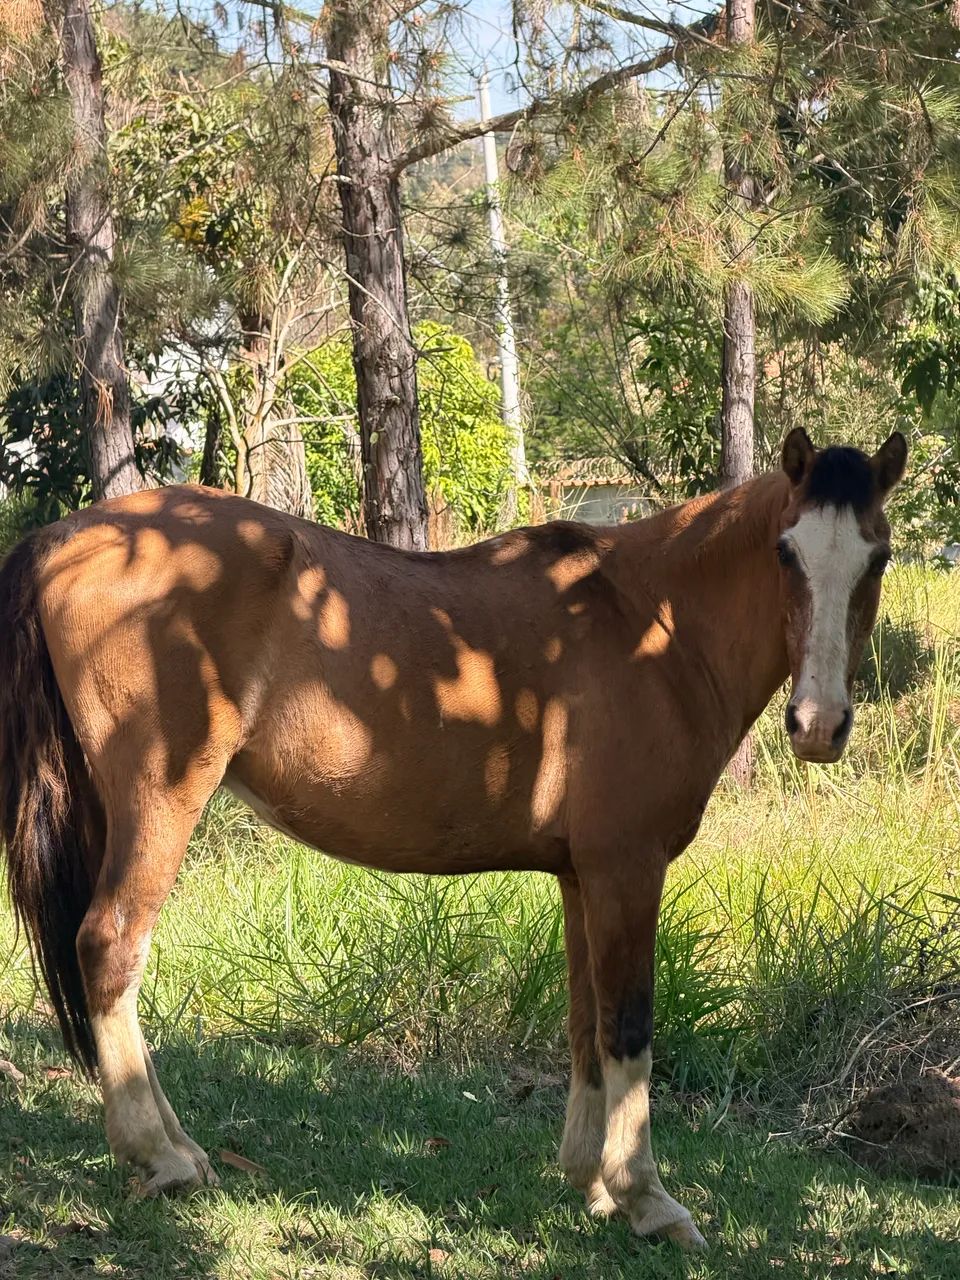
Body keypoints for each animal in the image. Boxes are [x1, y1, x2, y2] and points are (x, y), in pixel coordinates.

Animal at [0, 427, 905, 1248]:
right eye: (787, 552)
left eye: (879, 557)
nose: (818, 725)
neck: (649, 625)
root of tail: (65, 537)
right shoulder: (627, 869)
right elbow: (629, 1029)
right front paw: (647, 1199)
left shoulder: (582, 877)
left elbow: (585, 1024)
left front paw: (592, 1185)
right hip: (160, 800)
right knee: (111, 948)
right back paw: (162, 1157)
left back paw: (181, 1148)